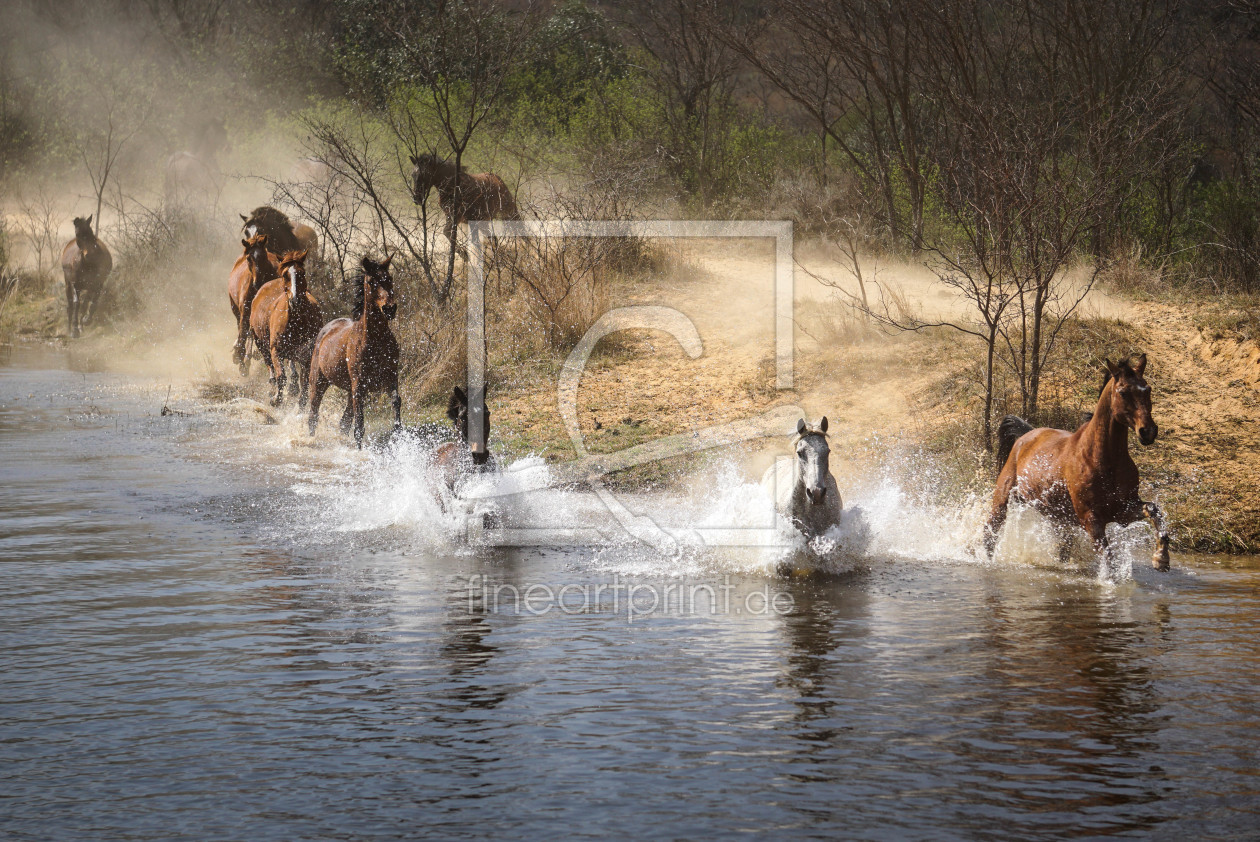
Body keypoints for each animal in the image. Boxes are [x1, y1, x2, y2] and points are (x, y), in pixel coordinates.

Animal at [226, 231, 278, 373]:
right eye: (249, 258)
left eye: (263, 256)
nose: (257, 283)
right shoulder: (244, 313)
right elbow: (243, 334)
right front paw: (240, 359)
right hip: (236, 310)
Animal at [246, 249, 322, 408]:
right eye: (285, 275)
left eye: (302, 273)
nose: (295, 300)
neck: (297, 321)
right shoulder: (276, 349)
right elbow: (281, 376)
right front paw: (276, 399)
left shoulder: (307, 353)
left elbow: (305, 381)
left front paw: (301, 403)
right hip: (260, 343)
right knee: (270, 366)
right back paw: (273, 388)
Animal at [304, 254, 398, 446]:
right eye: (371, 281)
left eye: (389, 278)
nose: (390, 309)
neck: (375, 341)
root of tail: (325, 330)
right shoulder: (359, 385)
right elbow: (359, 425)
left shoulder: (390, 377)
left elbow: (395, 401)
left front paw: (399, 435)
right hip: (318, 382)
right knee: (313, 416)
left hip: (349, 390)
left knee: (343, 422)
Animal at [982, 355, 1169, 572]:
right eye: (1123, 392)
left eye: (1147, 389)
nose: (1148, 432)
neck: (1104, 460)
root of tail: (1025, 436)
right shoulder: (1090, 518)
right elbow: (1108, 557)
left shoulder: (1123, 510)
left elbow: (1154, 511)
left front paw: (1161, 558)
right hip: (1003, 499)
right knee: (990, 531)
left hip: (1057, 517)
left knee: (1063, 547)